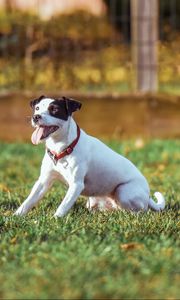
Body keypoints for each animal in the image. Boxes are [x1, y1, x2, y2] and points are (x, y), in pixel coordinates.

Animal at [14, 95, 165, 217]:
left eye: (54, 109)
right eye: (37, 108)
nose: (36, 117)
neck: (62, 148)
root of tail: (147, 196)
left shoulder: (76, 185)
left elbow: (63, 206)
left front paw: (55, 219)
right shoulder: (43, 181)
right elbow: (28, 201)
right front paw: (16, 216)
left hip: (124, 192)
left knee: (139, 210)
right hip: (94, 200)